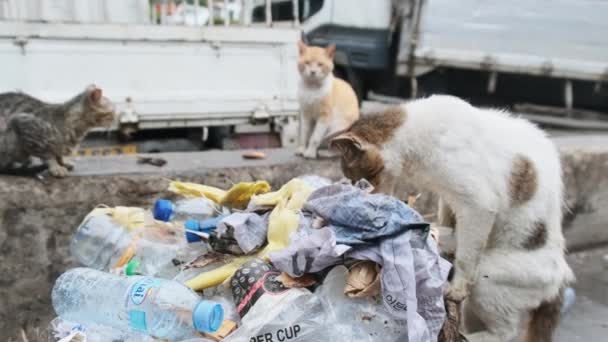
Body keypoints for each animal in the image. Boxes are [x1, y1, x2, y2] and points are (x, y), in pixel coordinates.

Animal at [332, 95, 576, 342]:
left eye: (359, 180)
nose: (360, 194)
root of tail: (563, 276)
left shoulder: (478, 205)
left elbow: (466, 257)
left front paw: (456, 287)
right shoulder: (448, 198)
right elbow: (448, 219)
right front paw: (442, 237)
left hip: (488, 279)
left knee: (506, 332)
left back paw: (471, 336)